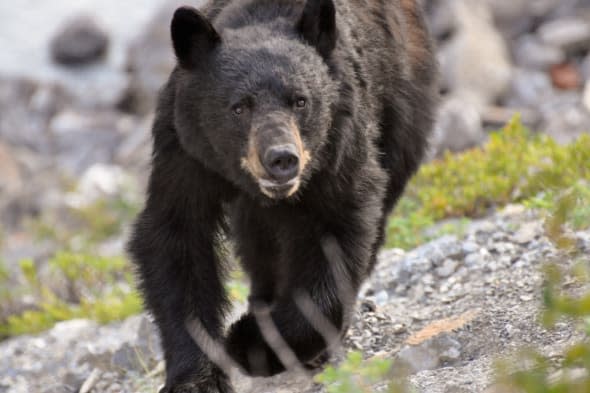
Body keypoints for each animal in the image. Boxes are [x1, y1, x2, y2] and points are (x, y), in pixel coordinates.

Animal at [128, 0, 434, 390]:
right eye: (239, 106)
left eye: (300, 101)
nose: (282, 158)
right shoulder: (186, 151)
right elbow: (176, 239)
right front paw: (196, 377)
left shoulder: (339, 147)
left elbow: (338, 237)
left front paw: (254, 342)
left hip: (401, 105)